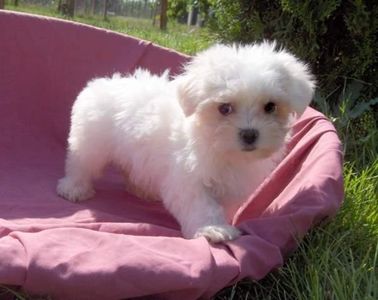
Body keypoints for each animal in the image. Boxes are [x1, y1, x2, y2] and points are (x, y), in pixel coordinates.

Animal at [56, 42, 316, 243]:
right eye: (224, 108)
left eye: (270, 106)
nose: (250, 134)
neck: (222, 151)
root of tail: (101, 83)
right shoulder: (188, 178)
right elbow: (202, 206)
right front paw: (213, 230)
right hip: (90, 142)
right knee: (81, 165)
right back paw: (74, 188)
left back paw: (141, 189)